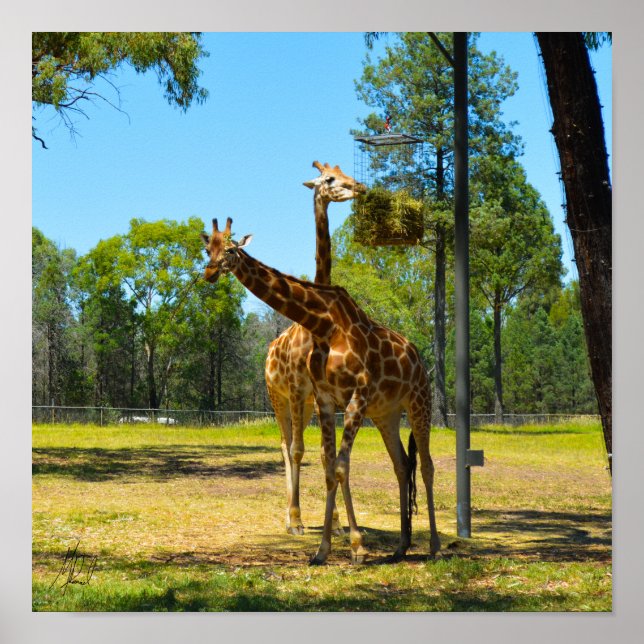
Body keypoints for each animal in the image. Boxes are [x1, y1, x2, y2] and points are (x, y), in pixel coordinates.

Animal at [201, 217, 441, 565]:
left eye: (231, 250)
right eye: (208, 248)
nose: (209, 272)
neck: (323, 324)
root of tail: (418, 358)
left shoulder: (356, 396)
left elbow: (339, 465)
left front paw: (355, 546)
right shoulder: (326, 400)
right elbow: (330, 468)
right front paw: (323, 550)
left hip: (420, 401)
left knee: (426, 465)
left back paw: (434, 545)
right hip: (385, 414)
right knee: (401, 465)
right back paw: (401, 545)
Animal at [265, 161, 366, 535]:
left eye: (344, 172)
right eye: (328, 179)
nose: (358, 187)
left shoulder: (323, 395)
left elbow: (327, 453)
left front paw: (335, 523)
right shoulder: (296, 388)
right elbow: (297, 450)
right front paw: (296, 519)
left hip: (304, 402)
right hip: (277, 396)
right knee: (284, 444)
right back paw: (288, 517)